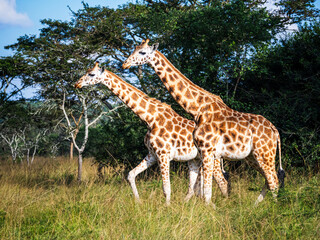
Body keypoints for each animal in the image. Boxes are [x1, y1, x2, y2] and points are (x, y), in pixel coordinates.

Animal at [74, 62, 204, 204]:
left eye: (91, 74)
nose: (77, 84)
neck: (150, 119)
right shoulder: (152, 154)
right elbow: (131, 174)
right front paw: (138, 202)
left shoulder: (163, 155)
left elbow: (166, 187)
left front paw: (167, 207)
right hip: (194, 159)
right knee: (195, 187)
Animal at [122, 40, 284, 205]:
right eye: (135, 49)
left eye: (142, 52)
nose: (125, 64)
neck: (197, 108)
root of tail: (275, 130)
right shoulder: (201, 152)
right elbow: (203, 190)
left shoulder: (206, 150)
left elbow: (205, 191)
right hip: (252, 156)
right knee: (268, 180)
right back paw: (256, 205)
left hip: (264, 153)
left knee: (273, 180)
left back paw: (271, 207)